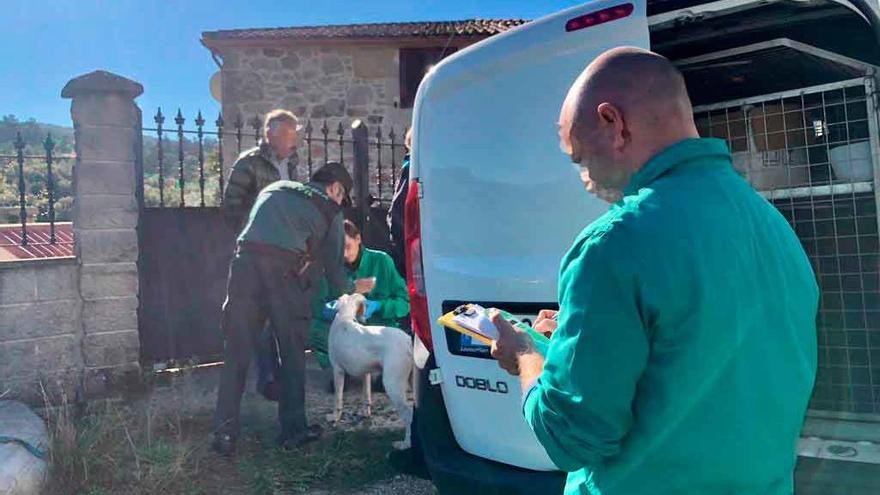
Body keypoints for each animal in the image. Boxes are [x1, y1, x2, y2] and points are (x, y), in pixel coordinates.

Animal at [328, 292, 414, 452]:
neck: (345, 318)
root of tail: (407, 341)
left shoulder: (338, 370)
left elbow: (338, 399)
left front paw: (334, 417)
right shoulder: (366, 374)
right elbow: (366, 397)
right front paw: (365, 414)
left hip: (392, 384)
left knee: (409, 414)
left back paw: (406, 444)